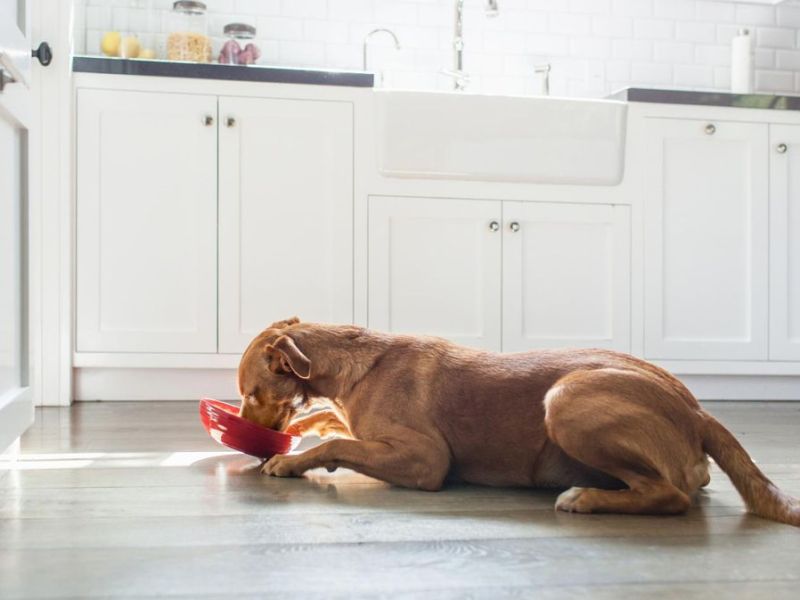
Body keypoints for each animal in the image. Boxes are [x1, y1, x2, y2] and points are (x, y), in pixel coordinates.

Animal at [238, 316, 800, 528]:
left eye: (248, 393)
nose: (248, 435)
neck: (353, 364)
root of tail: (698, 411)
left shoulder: (426, 460)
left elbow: (341, 446)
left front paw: (288, 461)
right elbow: (330, 423)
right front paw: (307, 429)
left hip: (566, 399)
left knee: (671, 496)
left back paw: (586, 499)